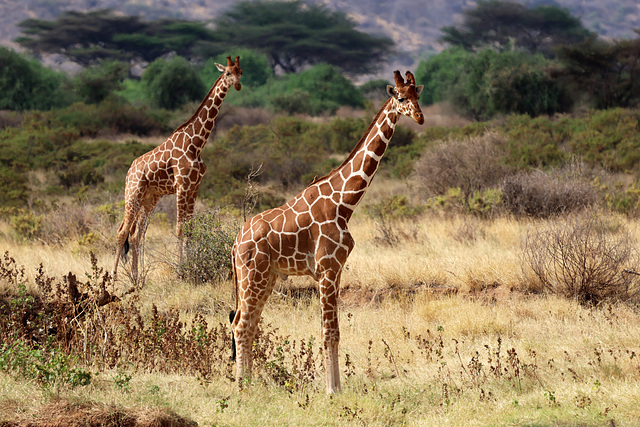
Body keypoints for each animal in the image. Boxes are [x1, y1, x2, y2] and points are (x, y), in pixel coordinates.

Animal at [112, 56, 243, 281]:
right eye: (227, 73)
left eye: (240, 72)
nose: (237, 85)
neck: (197, 143)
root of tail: (129, 171)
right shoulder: (182, 186)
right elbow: (180, 229)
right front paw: (180, 271)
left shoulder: (194, 187)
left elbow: (190, 229)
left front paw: (192, 267)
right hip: (133, 193)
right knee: (122, 231)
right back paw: (111, 278)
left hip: (149, 198)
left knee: (136, 234)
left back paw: (137, 278)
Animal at [230, 70, 424, 393]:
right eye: (399, 97)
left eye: (417, 95)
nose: (420, 117)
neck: (344, 202)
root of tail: (235, 243)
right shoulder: (327, 269)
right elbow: (328, 331)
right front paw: (331, 390)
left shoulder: (337, 270)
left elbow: (335, 331)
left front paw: (338, 388)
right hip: (251, 275)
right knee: (241, 324)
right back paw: (242, 387)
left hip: (267, 277)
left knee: (251, 323)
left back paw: (251, 382)